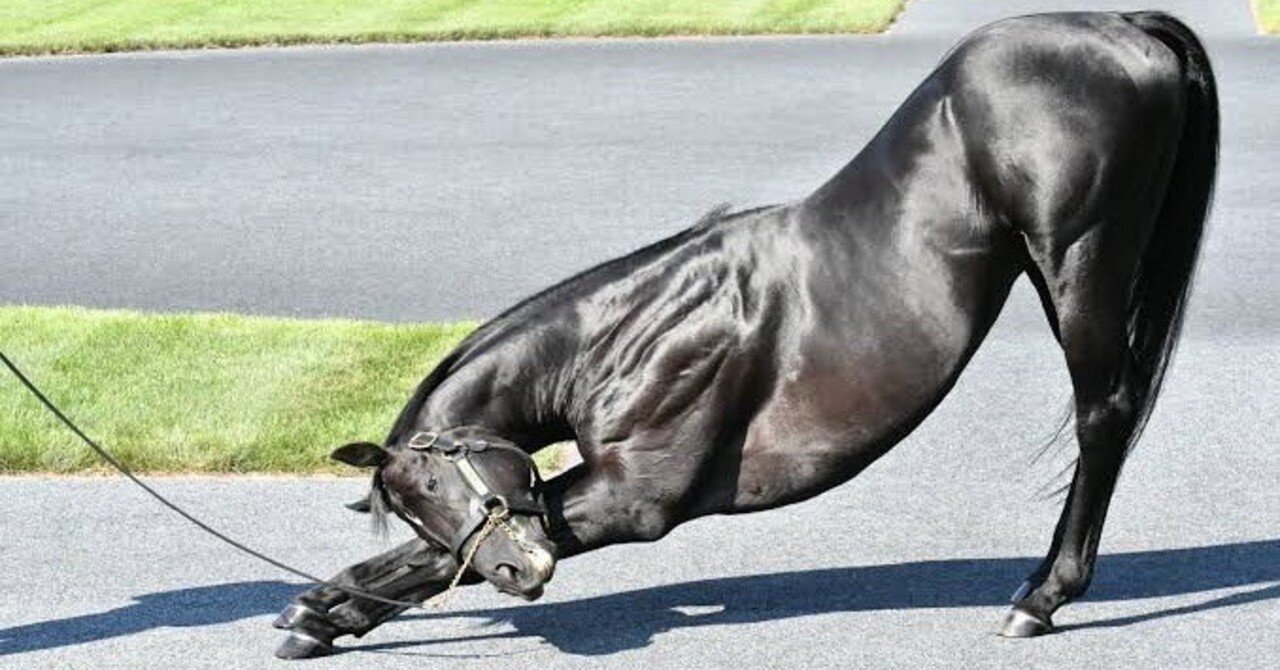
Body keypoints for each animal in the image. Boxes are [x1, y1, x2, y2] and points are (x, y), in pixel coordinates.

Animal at [271, 11, 1217, 658]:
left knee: (1103, 416)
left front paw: (323, 610)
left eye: (438, 487)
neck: (623, 341)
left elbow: (437, 564)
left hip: (1080, 259)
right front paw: (322, 609)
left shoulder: (635, 498)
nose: (519, 571)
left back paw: (1043, 594)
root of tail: (1121, 24)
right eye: (421, 504)